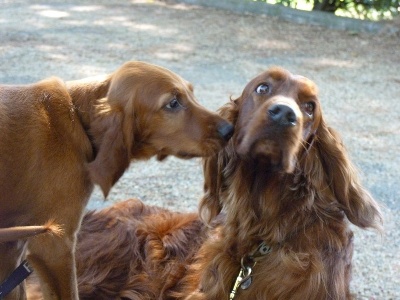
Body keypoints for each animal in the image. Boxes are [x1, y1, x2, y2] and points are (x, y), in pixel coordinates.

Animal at [0, 61, 233, 300]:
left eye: (191, 93)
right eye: (173, 103)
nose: (229, 130)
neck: (77, 117)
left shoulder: (12, 248)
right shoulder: (55, 243)